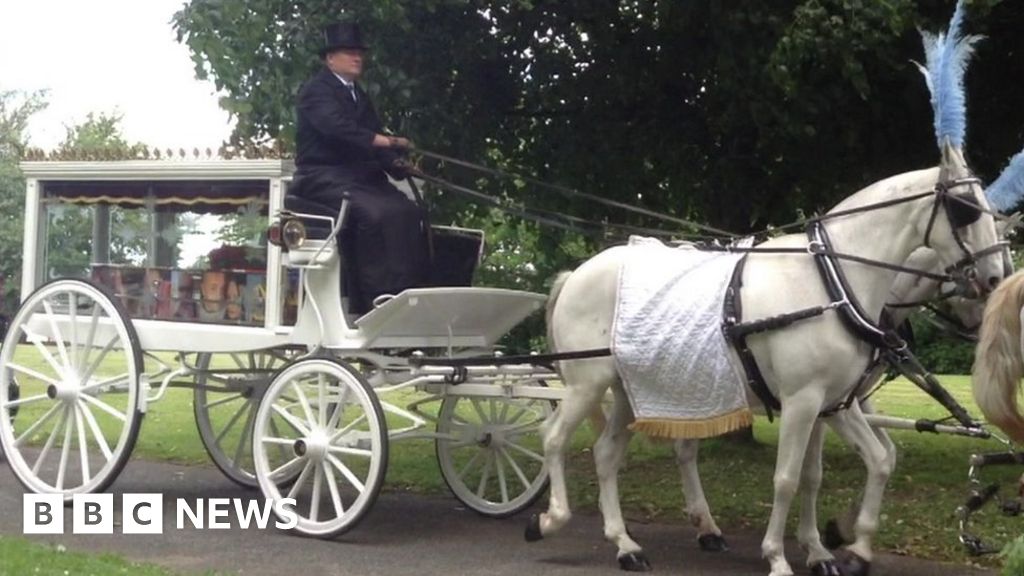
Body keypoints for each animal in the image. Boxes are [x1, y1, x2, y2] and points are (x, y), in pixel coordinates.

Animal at [528, 140, 999, 573]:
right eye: (966, 209)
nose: (996, 279)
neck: (831, 281)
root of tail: (577, 273)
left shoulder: (833, 405)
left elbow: (843, 469)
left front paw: (832, 549)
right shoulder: (802, 401)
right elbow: (787, 479)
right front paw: (778, 556)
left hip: (637, 391)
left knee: (608, 453)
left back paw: (626, 543)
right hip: (588, 383)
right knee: (553, 438)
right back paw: (552, 519)